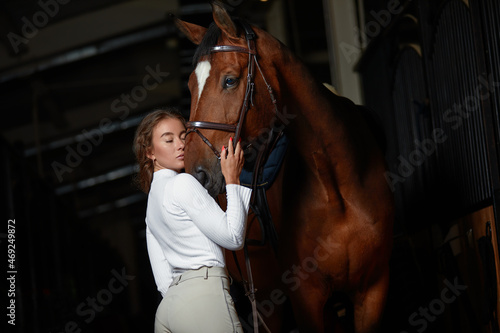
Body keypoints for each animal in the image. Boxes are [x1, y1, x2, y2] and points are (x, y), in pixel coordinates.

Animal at [176, 1, 394, 330]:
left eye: (230, 80)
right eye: (190, 86)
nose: (195, 173)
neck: (337, 180)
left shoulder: (373, 291)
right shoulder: (307, 300)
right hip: (267, 303)